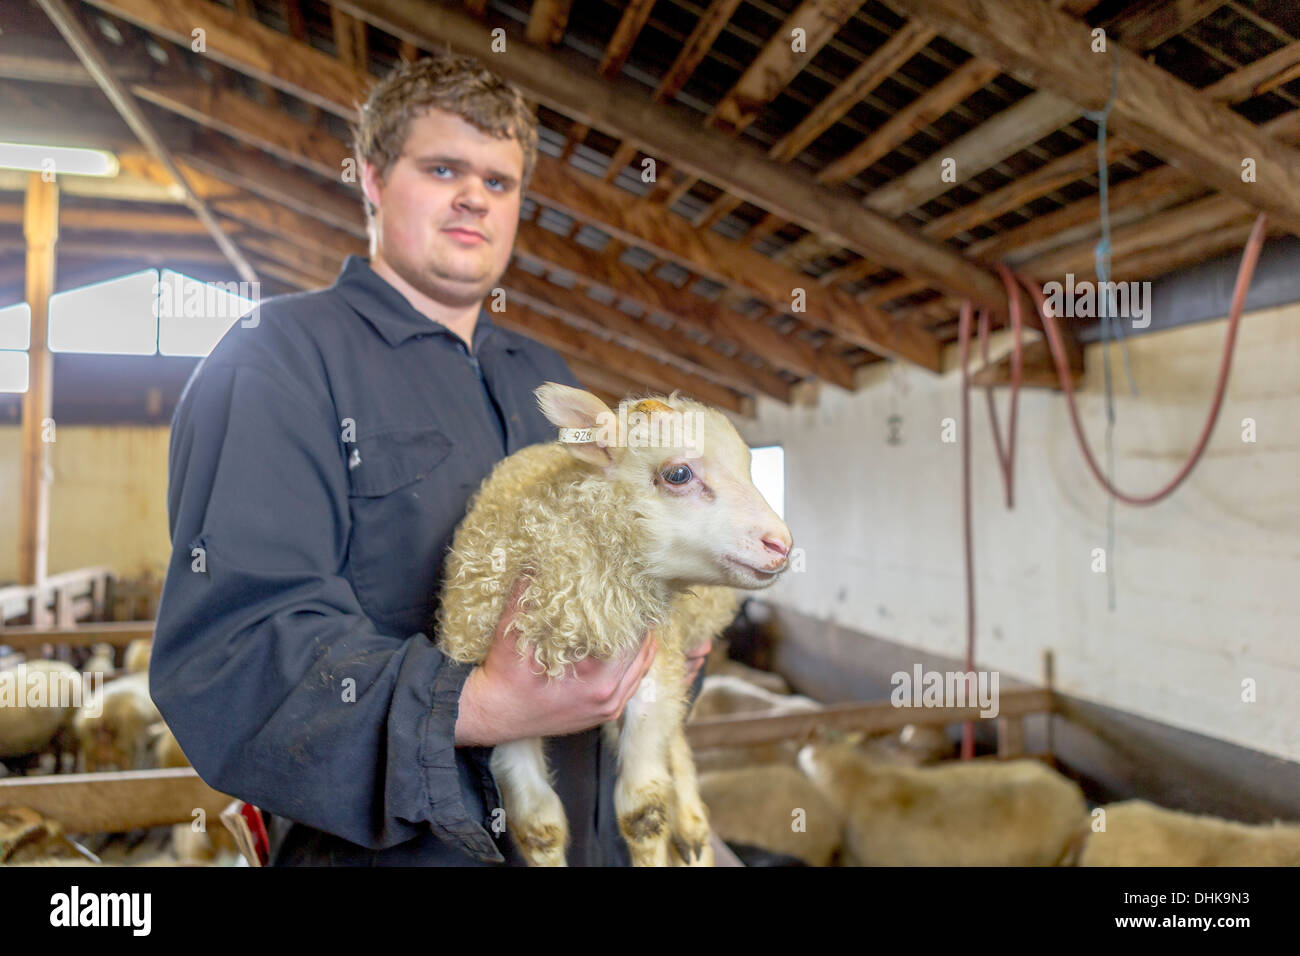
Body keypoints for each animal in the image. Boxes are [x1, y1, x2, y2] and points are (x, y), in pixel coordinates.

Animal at [436, 385, 790, 868]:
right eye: (679, 473)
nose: (782, 545)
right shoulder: (506, 707)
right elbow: (538, 826)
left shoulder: (653, 670)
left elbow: (644, 810)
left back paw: (692, 826)